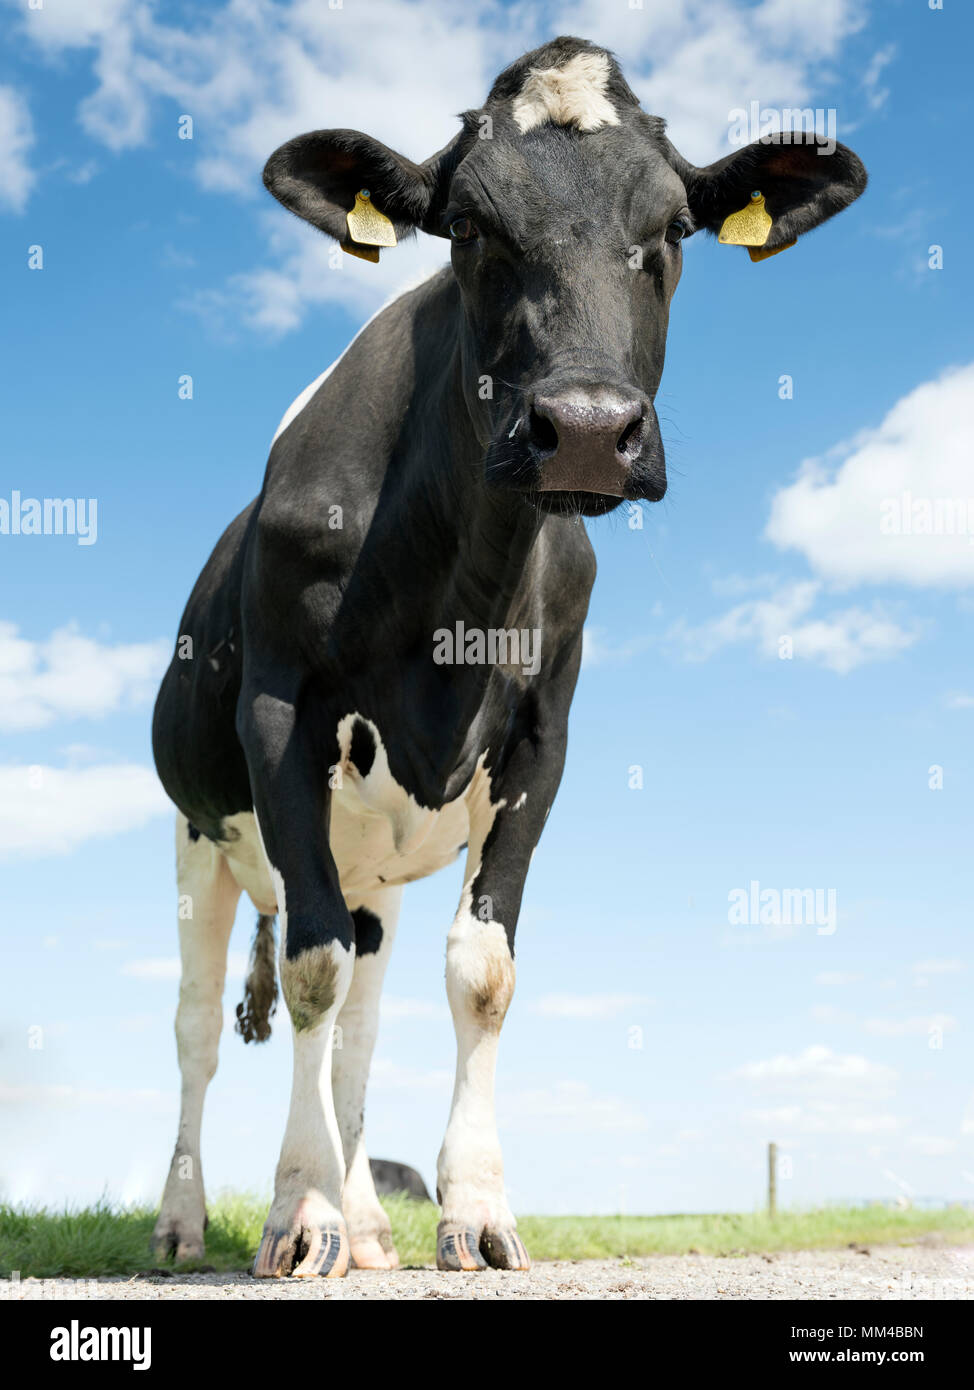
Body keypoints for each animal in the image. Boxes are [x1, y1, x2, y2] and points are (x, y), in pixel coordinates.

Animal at [151, 35, 866, 1277]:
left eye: (672, 229)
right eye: (470, 228)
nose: (581, 427)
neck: (459, 583)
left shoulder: (540, 738)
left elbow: (478, 975)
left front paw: (469, 1210)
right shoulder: (281, 721)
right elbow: (307, 969)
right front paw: (299, 1211)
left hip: (372, 871)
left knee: (356, 1029)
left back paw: (370, 1225)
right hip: (199, 837)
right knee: (200, 1028)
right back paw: (187, 1219)